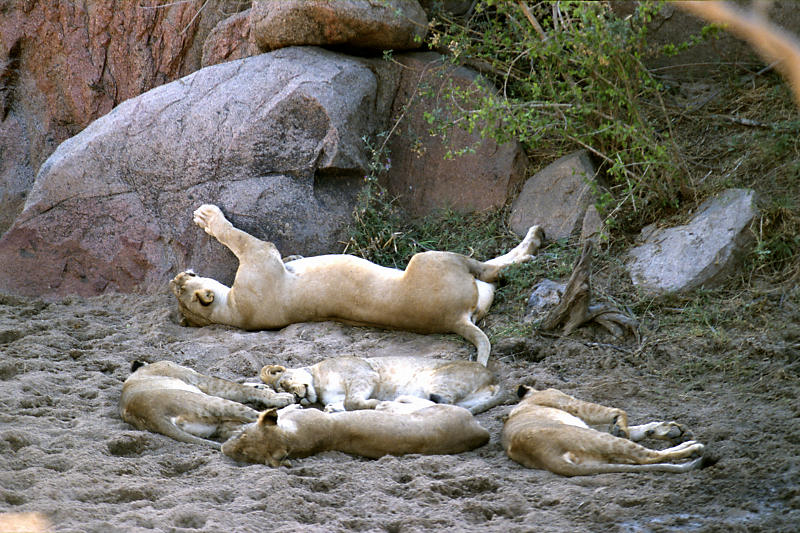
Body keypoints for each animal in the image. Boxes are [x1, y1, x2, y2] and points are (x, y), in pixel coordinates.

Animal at [169, 202, 544, 364]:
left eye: (180, 283)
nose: (179, 274)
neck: (232, 311)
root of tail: (454, 320)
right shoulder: (259, 253)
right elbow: (233, 234)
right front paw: (207, 216)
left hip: (464, 287)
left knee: (493, 277)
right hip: (431, 258)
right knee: (491, 269)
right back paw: (533, 243)